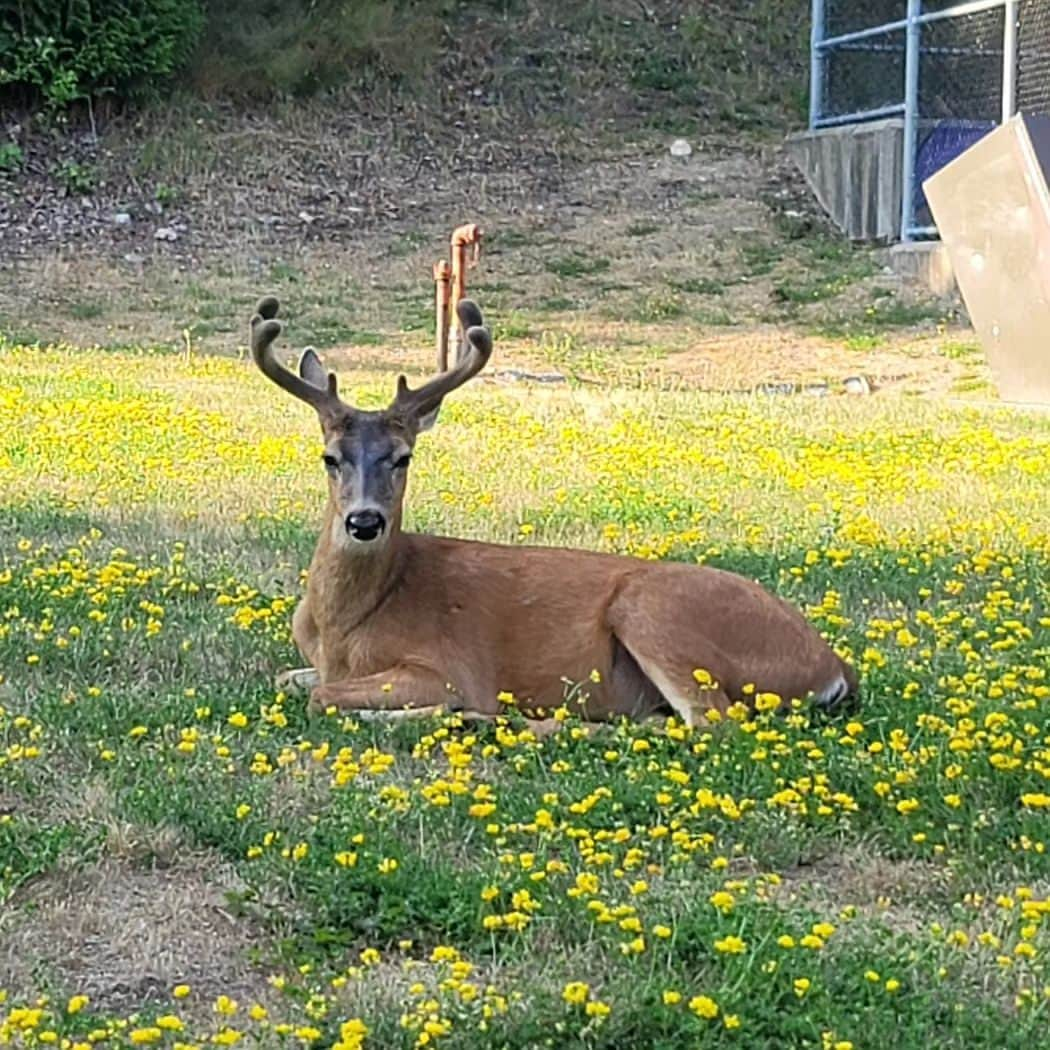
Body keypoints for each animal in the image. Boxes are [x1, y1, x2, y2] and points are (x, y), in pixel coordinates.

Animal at [249, 296, 856, 734]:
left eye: (403, 457)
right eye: (329, 457)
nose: (364, 522)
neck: (344, 628)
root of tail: (835, 668)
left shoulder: (444, 667)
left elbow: (324, 696)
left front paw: (437, 712)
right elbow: (284, 678)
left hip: (656, 611)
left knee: (711, 724)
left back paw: (508, 720)